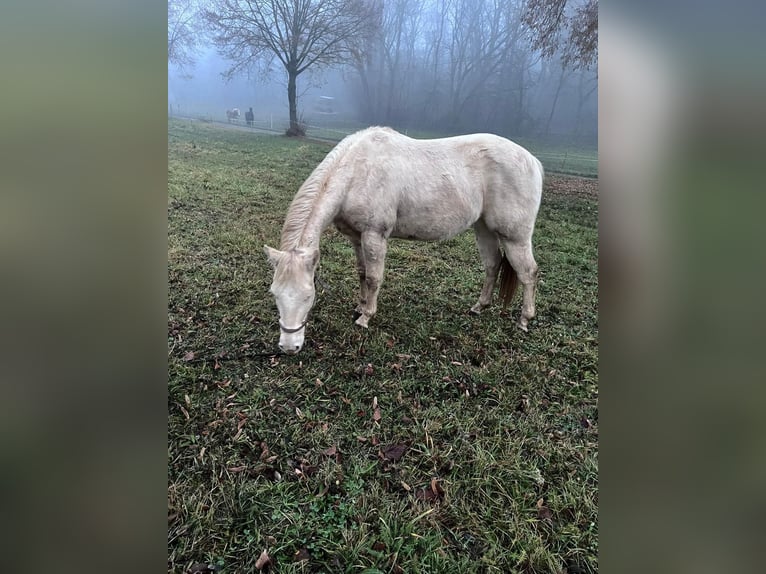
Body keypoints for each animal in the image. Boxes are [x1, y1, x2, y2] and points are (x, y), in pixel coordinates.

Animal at [264, 126, 544, 354]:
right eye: (275, 294)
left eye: (308, 296)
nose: (289, 347)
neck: (357, 172)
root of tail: (532, 161)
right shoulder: (357, 237)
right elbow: (362, 273)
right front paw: (360, 306)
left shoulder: (374, 235)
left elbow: (374, 278)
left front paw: (365, 317)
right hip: (484, 228)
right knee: (493, 265)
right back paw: (479, 307)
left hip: (515, 237)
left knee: (528, 273)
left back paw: (524, 320)